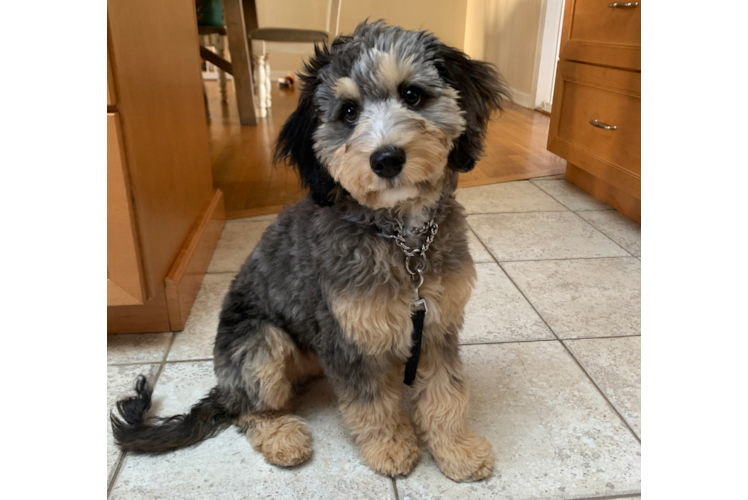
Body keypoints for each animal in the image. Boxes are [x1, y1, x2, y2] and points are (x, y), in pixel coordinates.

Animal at [112, 21, 508, 482]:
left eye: (412, 95)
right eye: (348, 113)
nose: (386, 159)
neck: (401, 239)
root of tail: (226, 386)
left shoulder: (436, 326)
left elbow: (446, 394)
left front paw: (457, 449)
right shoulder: (348, 336)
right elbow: (372, 402)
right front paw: (391, 447)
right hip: (259, 346)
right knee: (249, 409)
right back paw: (281, 436)